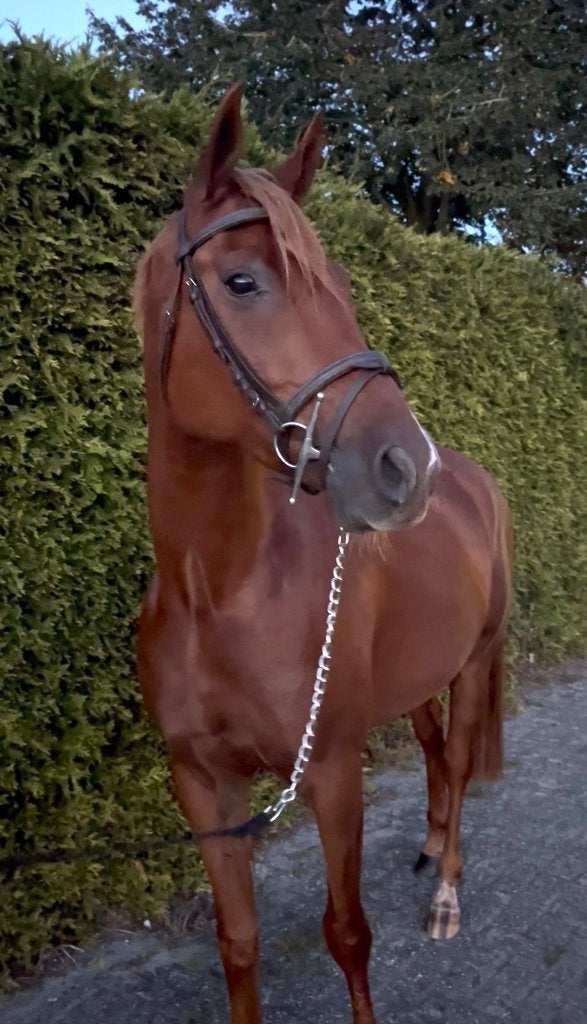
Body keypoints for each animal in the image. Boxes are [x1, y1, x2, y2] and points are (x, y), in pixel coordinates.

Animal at [134, 84, 513, 1024]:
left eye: (339, 285)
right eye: (241, 281)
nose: (404, 465)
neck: (220, 593)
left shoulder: (332, 772)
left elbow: (347, 933)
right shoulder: (203, 785)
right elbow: (238, 945)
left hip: (472, 663)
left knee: (458, 763)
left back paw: (445, 891)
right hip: (414, 679)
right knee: (433, 756)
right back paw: (428, 845)